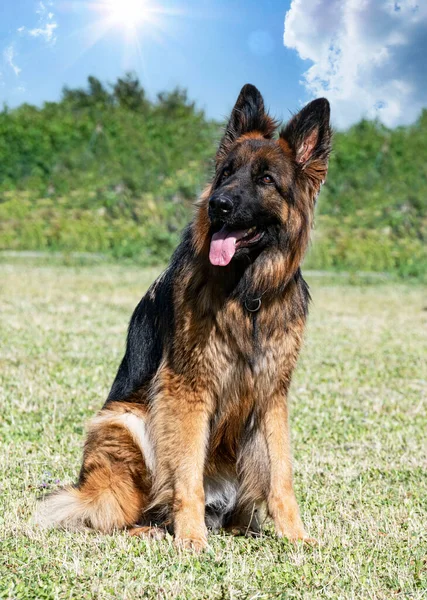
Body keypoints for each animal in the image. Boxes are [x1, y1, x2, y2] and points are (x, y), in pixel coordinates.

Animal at [36, 85, 332, 552]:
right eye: (226, 172)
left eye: (266, 179)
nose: (218, 205)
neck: (245, 294)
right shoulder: (188, 389)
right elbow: (187, 474)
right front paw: (190, 539)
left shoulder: (271, 395)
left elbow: (282, 476)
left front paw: (296, 537)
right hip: (126, 423)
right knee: (114, 513)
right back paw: (155, 528)